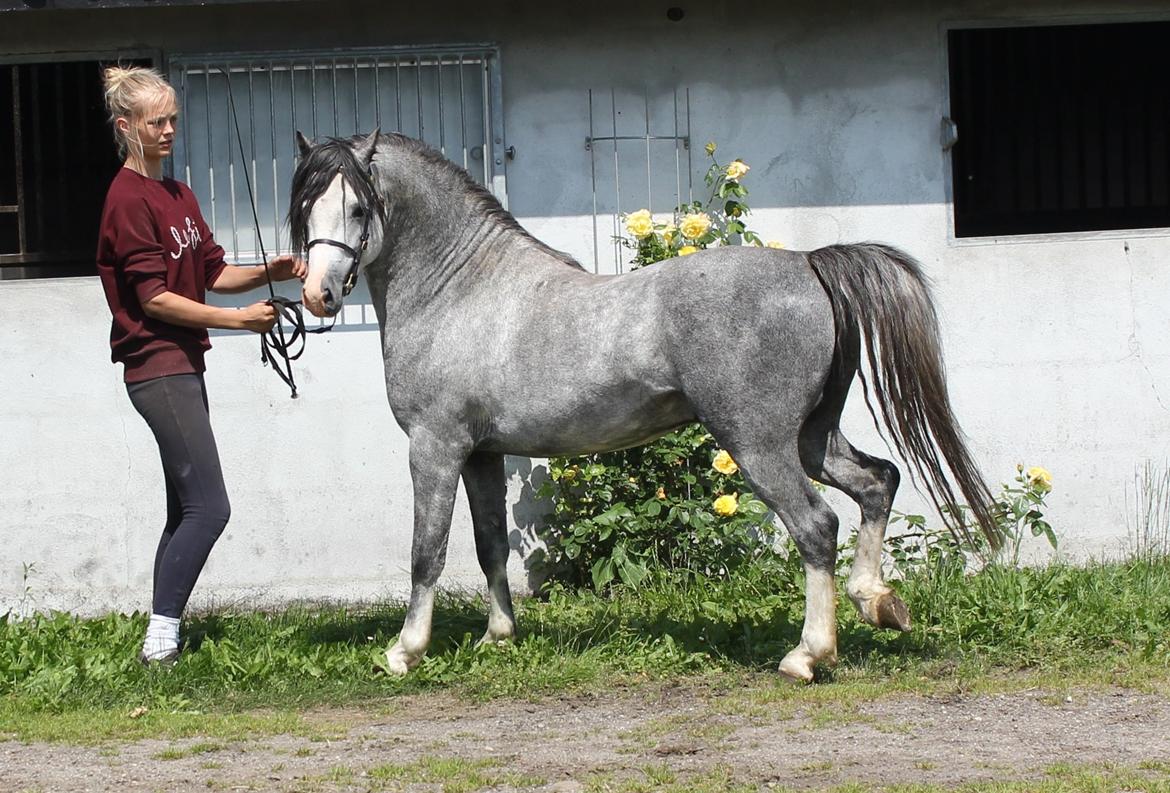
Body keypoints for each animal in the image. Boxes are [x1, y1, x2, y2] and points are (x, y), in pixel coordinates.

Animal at [289, 129, 998, 682]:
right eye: (306, 208)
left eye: (359, 208)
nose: (320, 294)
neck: (461, 291)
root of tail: (809, 265)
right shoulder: (482, 453)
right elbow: (489, 544)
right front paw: (499, 637)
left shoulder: (435, 447)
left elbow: (427, 550)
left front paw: (404, 652)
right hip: (811, 438)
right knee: (878, 482)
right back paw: (877, 602)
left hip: (758, 442)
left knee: (816, 525)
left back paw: (807, 655)